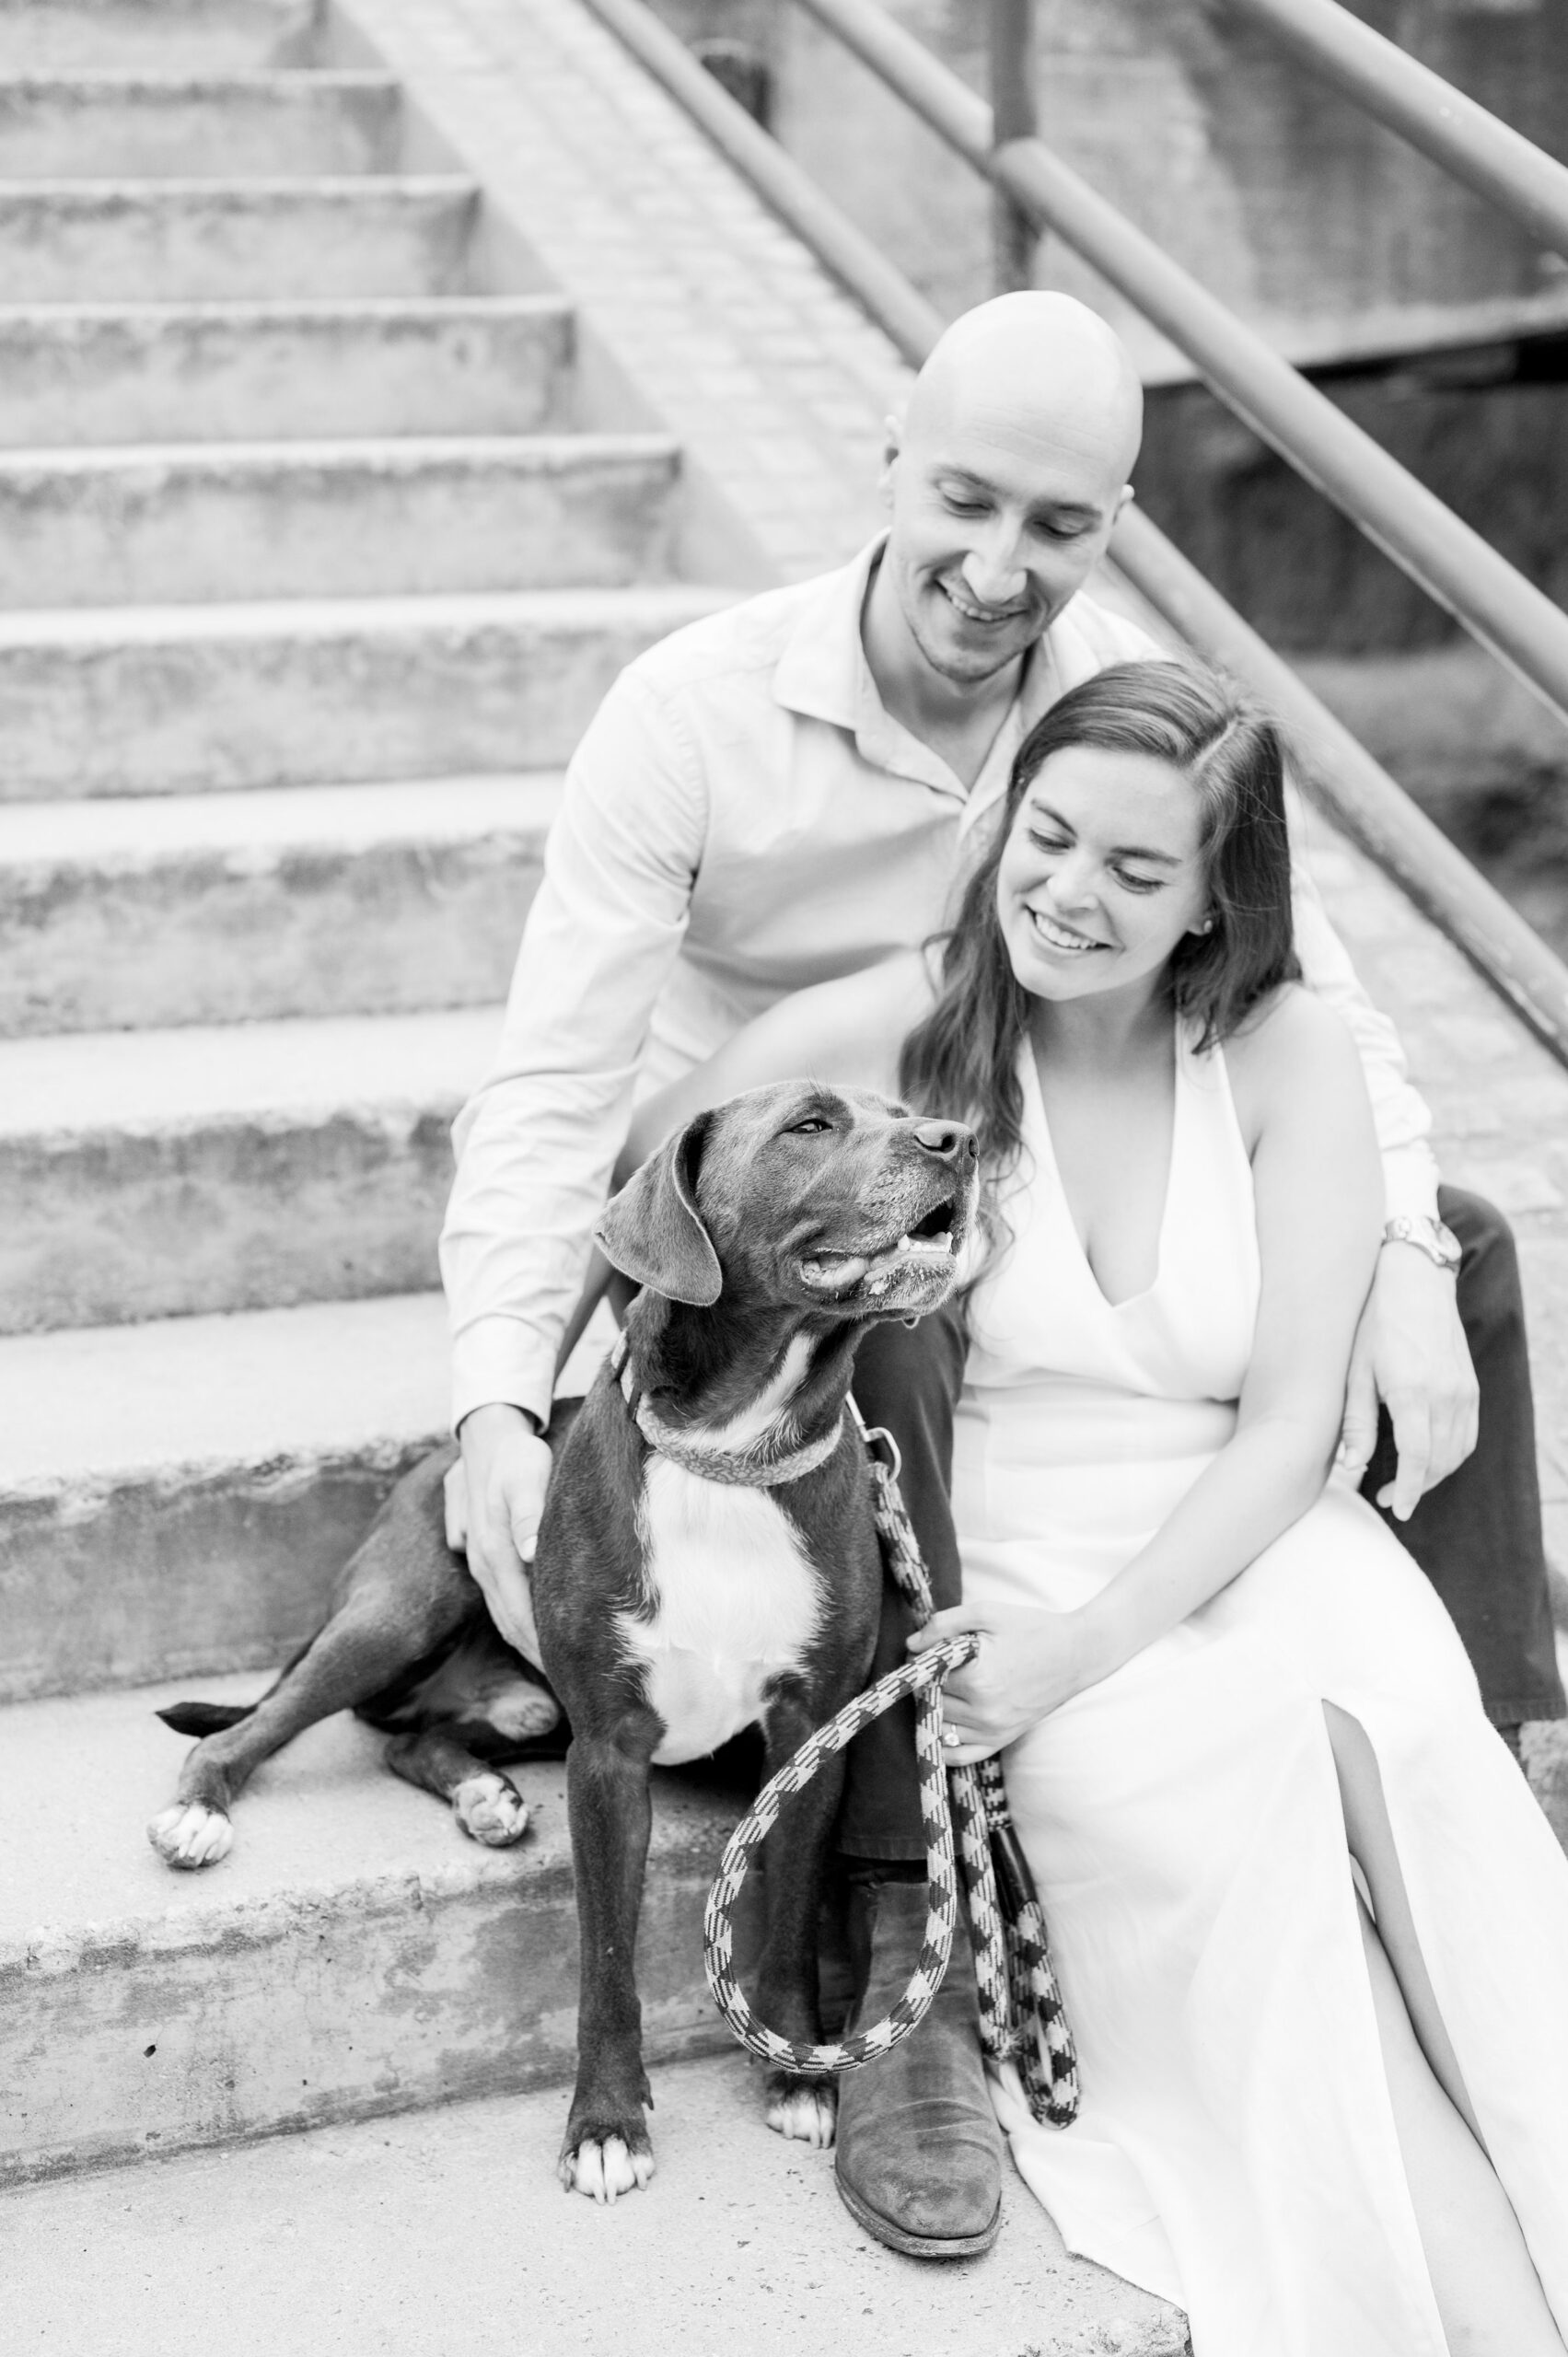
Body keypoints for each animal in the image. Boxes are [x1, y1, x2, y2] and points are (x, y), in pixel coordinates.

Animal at [149, 1079, 981, 2196]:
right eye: (810, 1124)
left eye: (902, 1106)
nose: (958, 1139)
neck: (727, 1456)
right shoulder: (610, 1753)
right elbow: (608, 1959)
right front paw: (606, 2124)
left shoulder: (809, 1733)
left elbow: (790, 1914)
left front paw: (796, 2073)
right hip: (398, 1619)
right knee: (251, 1729)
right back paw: (200, 1814)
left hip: (534, 1709)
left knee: (418, 1738)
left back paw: (485, 1798)